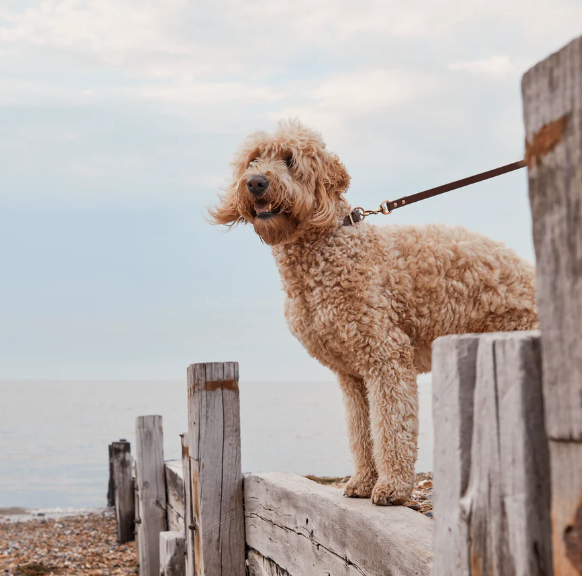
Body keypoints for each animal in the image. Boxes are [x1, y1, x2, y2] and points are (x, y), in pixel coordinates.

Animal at [209, 120, 540, 504]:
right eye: (253, 160)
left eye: (290, 160)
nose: (256, 183)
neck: (327, 250)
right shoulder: (351, 375)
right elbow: (361, 431)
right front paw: (363, 481)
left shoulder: (386, 358)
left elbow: (392, 426)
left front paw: (392, 487)